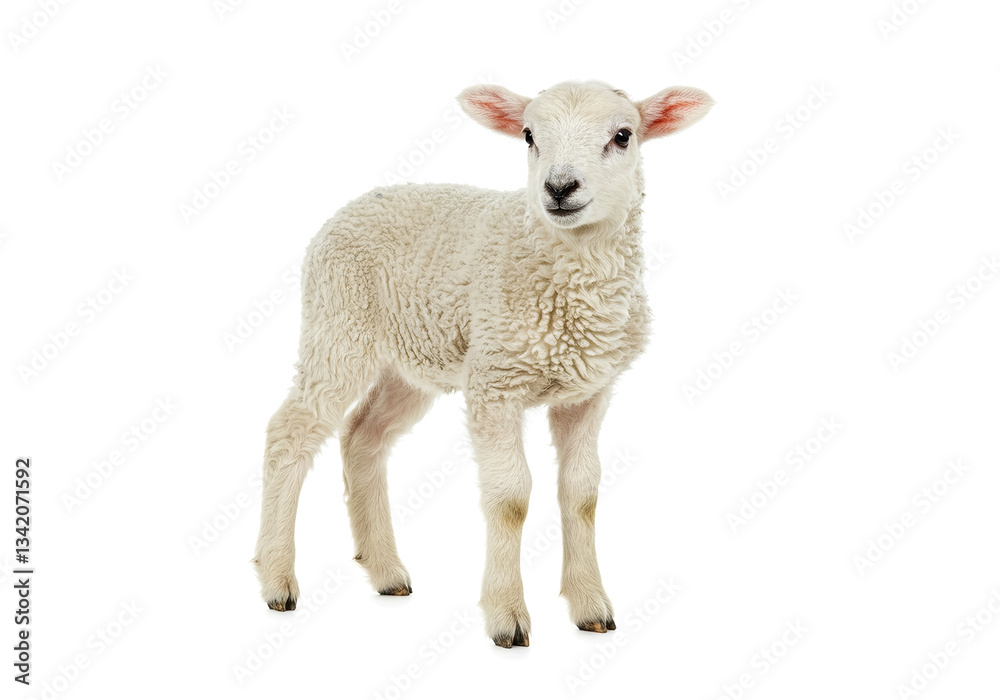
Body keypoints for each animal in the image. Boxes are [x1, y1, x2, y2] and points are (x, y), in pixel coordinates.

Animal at [253, 80, 713, 647]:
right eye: (529, 135)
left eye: (623, 135)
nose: (559, 187)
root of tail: (355, 204)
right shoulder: (495, 381)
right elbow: (511, 498)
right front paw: (507, 615)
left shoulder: (588, 392)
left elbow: (582, 493)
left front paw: (590, 607)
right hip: (338, 326)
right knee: (290, 432)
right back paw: (277, 579)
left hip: (412, 360)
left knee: (363, 436)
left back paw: (385, 572)